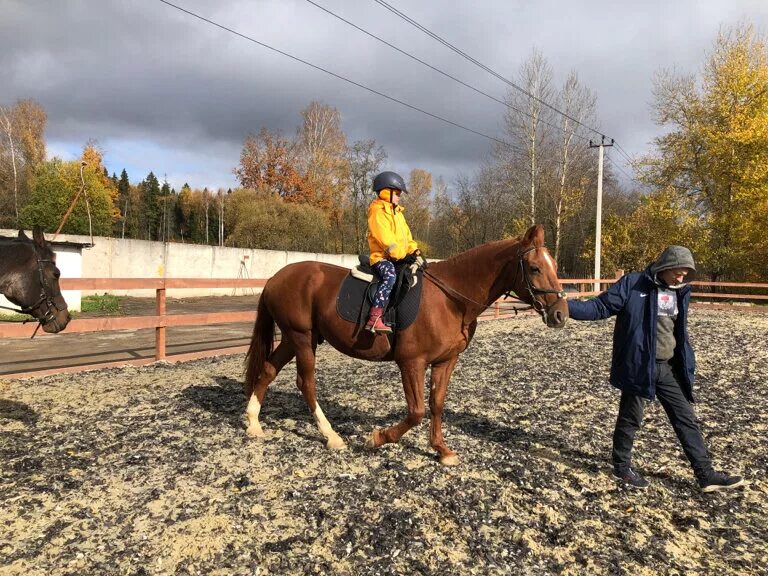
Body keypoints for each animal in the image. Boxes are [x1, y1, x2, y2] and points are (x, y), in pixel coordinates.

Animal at [243, 223, 568, 466]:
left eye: (554, 264)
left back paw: (254, 423)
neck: (451, 299)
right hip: (301, 338)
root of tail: (275, 277)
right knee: (306, 383)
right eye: (535, 268)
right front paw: (378, 438)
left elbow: (436, 404)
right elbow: (417, 411)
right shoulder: (412, 362)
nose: (560, 314)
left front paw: (442, 450)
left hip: (295, 338)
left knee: (269, 370)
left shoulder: (445, 361)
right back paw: (331, 436)